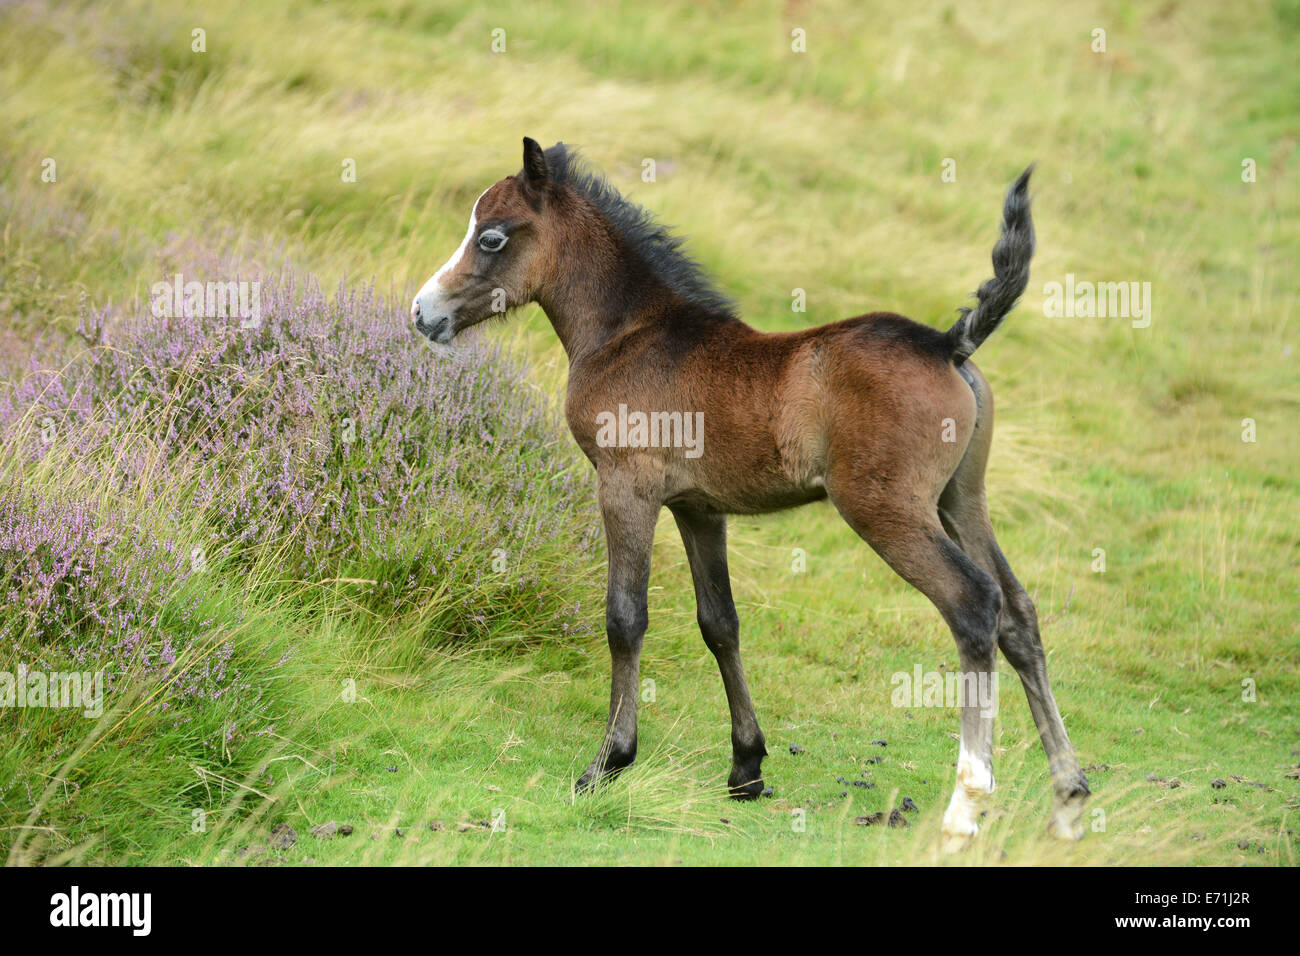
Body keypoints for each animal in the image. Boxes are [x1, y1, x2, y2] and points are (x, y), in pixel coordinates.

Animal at [410, 140, 1092, 842]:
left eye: (491, 236)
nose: (422, 314)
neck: (628, 333)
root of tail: (948, 344)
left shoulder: (626, 488)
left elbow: (625, 619)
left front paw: (608, 763)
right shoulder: (697, 508)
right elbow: (721, 623)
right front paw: (746, 767)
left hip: (887, 510)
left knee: (973, 605)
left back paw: (965, 805)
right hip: (961, 500)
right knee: (1018, 613)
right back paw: (1067, 798)